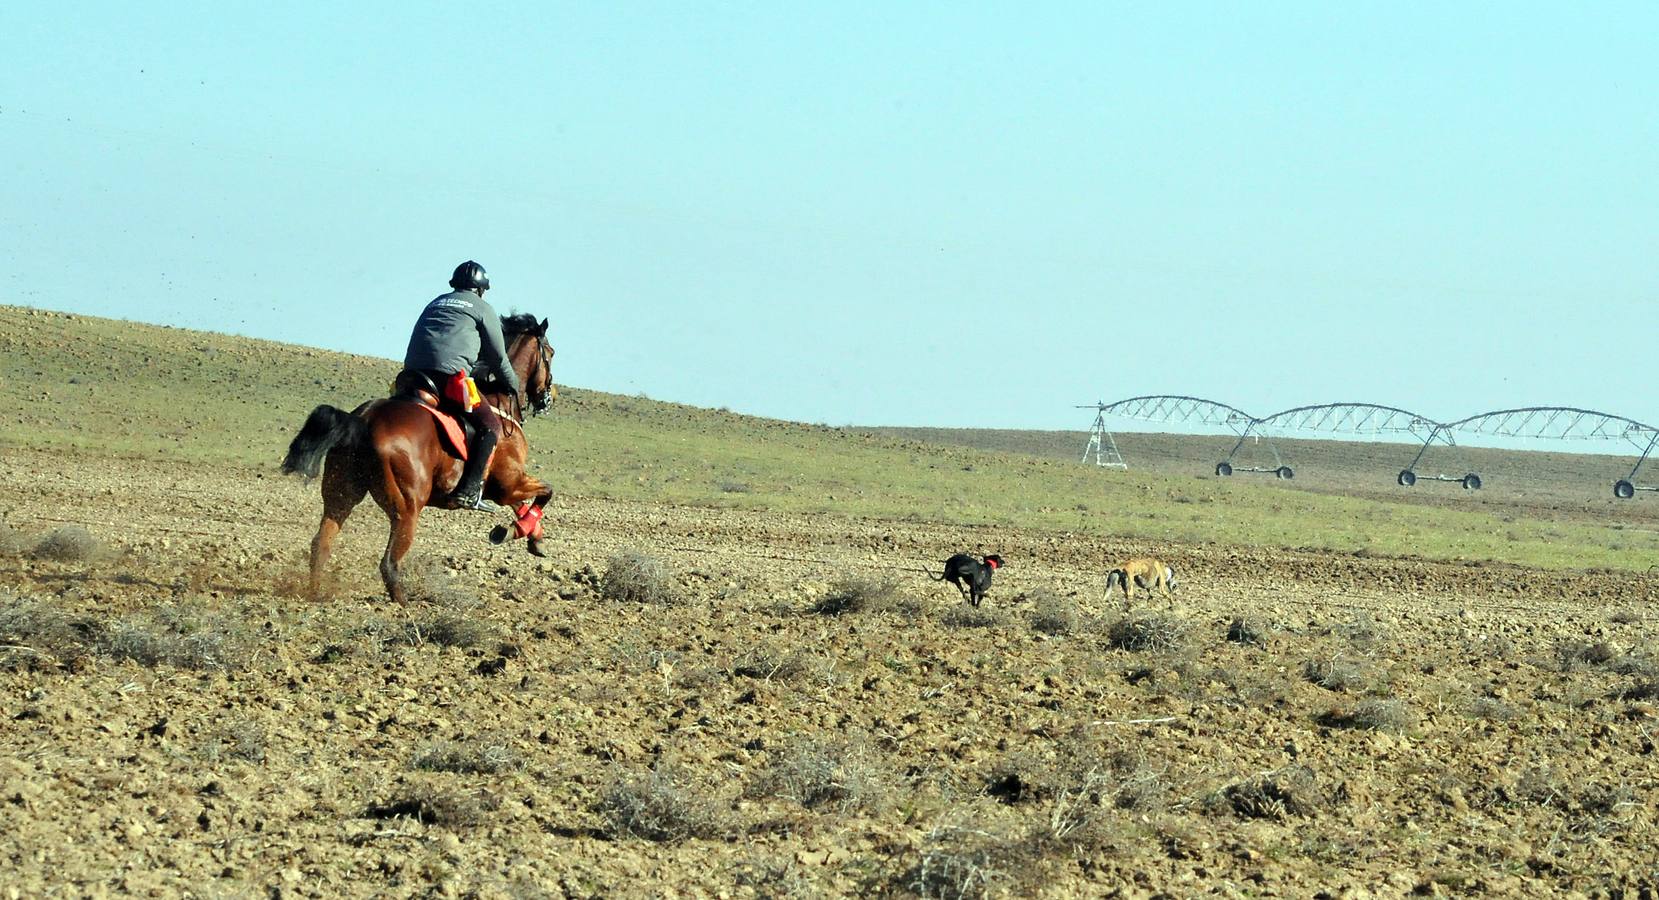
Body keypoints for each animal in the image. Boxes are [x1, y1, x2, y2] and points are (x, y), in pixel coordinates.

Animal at [282, 313, 560, 604]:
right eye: (550, 353)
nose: (549, 397)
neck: (501, 402)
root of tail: (363, 420)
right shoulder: (509, 484)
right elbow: (546, 492)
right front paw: (518, 531)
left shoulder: (501, 486)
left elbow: (524, 504)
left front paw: (530, 537)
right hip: (407, 508)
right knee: (389, 563)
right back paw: (403, 604)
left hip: (341, 495)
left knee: (321, 543)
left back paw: (316, 592)